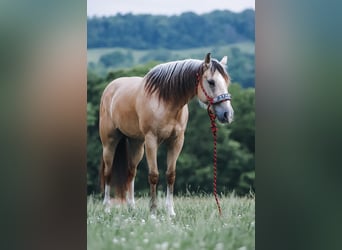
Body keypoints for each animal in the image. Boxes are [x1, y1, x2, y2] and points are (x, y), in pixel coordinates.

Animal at [97, 53, 234, 217]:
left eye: (226, 82)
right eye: (211, 82)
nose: (227, 114)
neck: (165, 101)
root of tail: (110, 88)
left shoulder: (177, 141)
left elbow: (170, 175)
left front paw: (171, 212)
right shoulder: (151, 140)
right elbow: (154, 175)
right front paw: (153, 212)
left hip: (136, 144)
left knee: (131, 172)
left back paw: (132, 208)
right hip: (109, 142)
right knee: (108, 173)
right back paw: (106, 208)